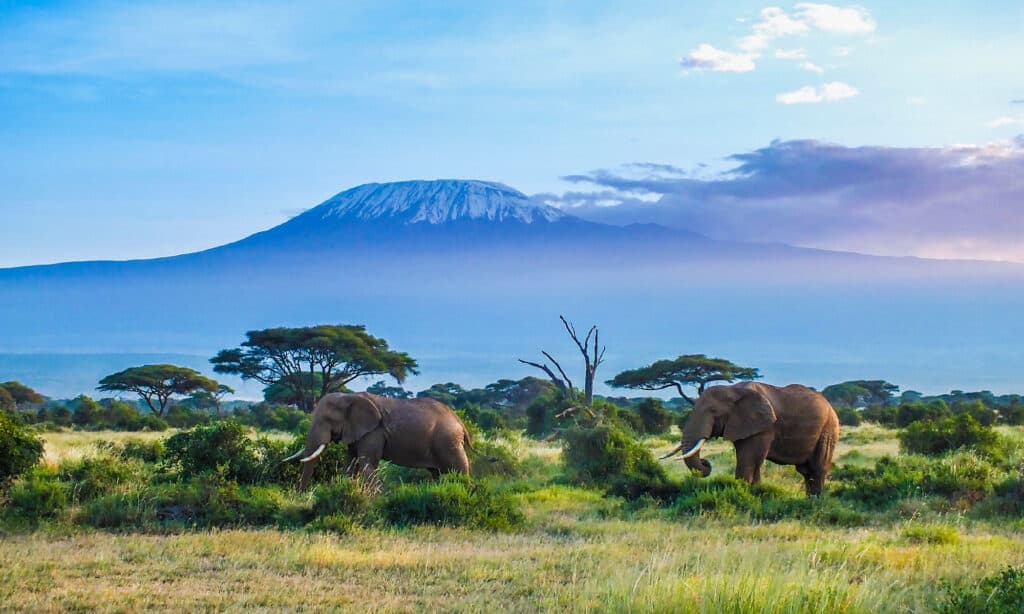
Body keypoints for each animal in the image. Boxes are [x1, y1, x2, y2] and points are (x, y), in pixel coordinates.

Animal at [280, 392, 471, 489]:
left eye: (327, 420)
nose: (301, 494)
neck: (349, 396)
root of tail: (460, 421)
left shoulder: (374, 432)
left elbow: (367, 464)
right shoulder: (357, 432)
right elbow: (350, 464)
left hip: (448, 441)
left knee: (459, 469)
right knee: (437, 473)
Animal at [663, 380, 839, 497]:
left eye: (713, 410)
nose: (706, 462)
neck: (733, 389)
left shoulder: (764, 427)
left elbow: (749, 460)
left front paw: (743, 494)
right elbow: (752, 461)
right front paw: (755, 493)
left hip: (828, 430)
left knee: (817, 468)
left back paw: (815, 502)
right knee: (805, 471)